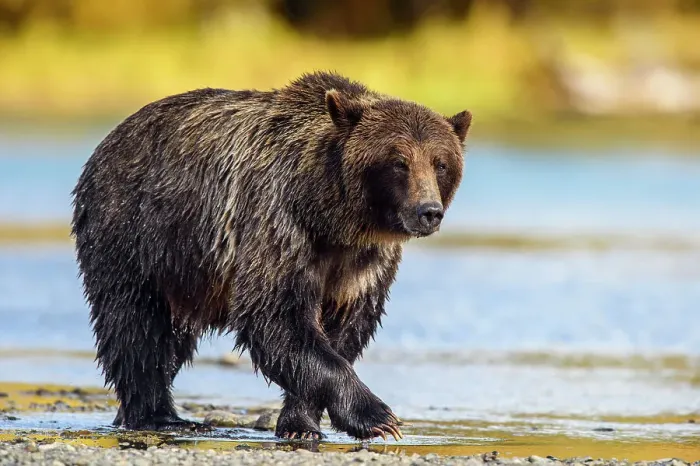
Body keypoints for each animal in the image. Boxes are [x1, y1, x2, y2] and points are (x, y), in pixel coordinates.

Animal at [71, 71, 471, 441]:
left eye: (440, 163)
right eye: (399, 161)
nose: (428, 211)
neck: (332, 217)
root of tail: (108, 141)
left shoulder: (363, 264)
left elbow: (344, 328)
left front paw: (301, 423)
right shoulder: (278, 224)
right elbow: (275, 315)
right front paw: (378, 417)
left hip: (185, 270)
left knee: (171, 336)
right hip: (135, 232)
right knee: (136, 325)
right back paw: (158, 415)